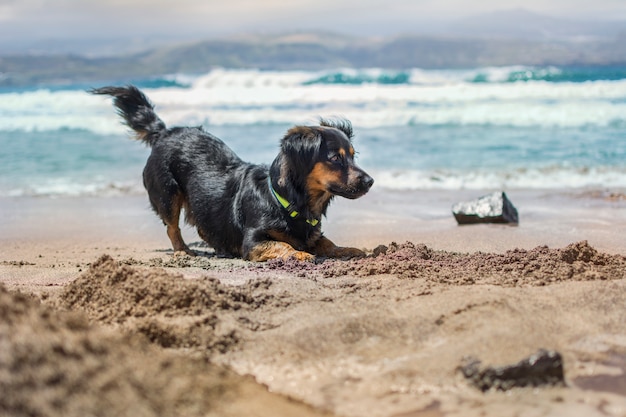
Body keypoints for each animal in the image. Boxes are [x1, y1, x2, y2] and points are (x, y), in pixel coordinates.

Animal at [91, 85, 372, 260]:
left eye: (353, 155)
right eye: (335, 158)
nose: (370, 181)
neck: (285, 201)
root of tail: (165, 132)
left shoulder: (313, 234)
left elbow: (327, 243)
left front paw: (348, 249)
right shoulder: (253, 242)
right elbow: (282, 244)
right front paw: (301, 253)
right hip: (167, 193)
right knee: (172, 227)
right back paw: (182, 251)